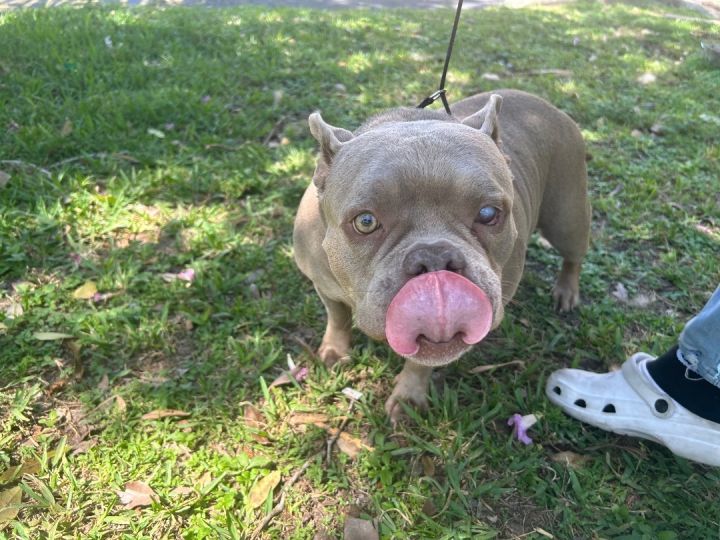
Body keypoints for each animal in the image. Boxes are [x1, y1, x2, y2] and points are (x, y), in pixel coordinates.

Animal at [292, 90, 592, 424]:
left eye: (488, 214)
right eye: (365, 222)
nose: (434, 258)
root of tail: (540, 101)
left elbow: (419, 363)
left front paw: (408, 397)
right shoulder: (324, 285)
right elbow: (338, 317)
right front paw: (334, 351)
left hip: (567, 218)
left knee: (573, 256)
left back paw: (566, 291)